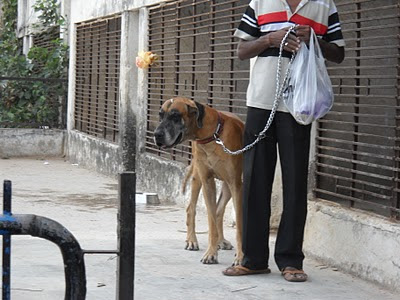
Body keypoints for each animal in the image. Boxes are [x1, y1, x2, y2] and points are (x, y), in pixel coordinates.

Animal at [154, 96, 244, 264]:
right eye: (161, 115)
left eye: (175, 116)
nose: (156, 134)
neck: (213, 135)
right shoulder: (207, 181)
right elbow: (211, 219)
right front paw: (211, 253)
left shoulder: (236, 184)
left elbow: (239, 224)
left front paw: (241, 256)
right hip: (197, 177)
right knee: (192, 208)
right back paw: (192, 240)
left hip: (228, 185)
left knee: (219, 210)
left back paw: (221, 241)